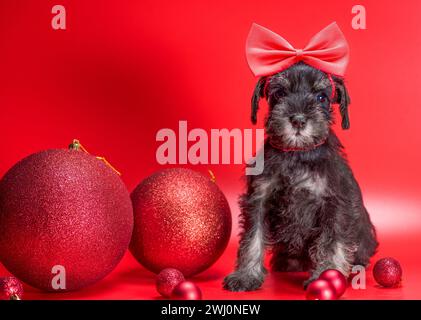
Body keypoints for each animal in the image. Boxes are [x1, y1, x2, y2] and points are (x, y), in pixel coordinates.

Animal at [223, 62, 378, 292]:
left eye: (321, 97)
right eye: (280, 93)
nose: (298, 120)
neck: (297, 153)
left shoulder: (335, 204)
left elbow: (332, 242)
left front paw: (327, 276)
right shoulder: (259, 200)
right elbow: (253, 238)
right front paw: (246, 275)